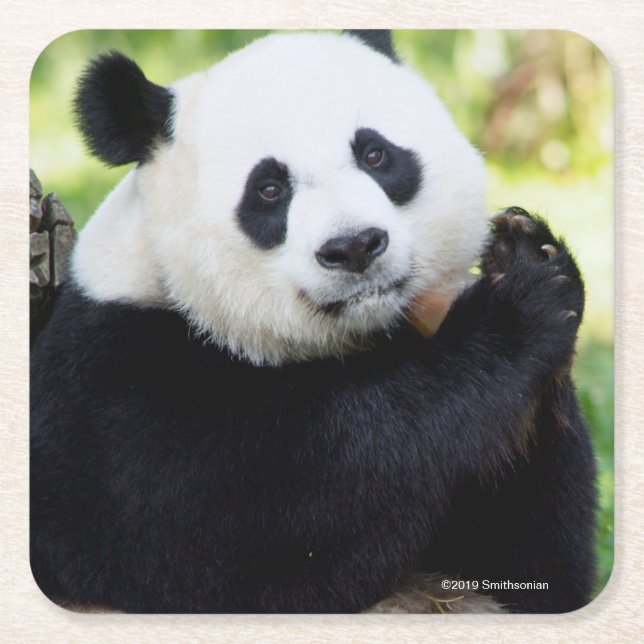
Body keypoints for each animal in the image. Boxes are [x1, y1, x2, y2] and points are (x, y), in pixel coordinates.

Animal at [30, 29, 597, 613]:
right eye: (269, 189)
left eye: (375, 153)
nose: (354, 246)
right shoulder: (117, 392)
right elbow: (263, 529)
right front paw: (520, 306)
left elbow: (531, 567)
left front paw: (525, 252)